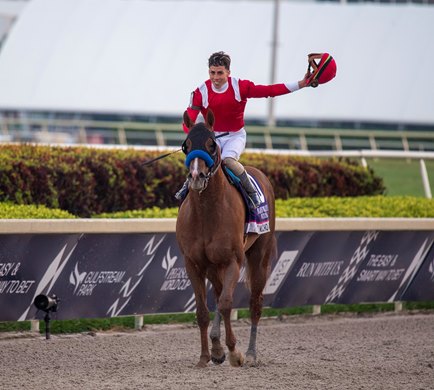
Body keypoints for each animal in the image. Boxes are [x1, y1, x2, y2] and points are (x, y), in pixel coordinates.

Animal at [175, 111, 274, 368]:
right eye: (186, 145)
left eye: (212, 144)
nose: (196, 176)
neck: (207, 212)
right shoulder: (194, 263)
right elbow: (203, 311)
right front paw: (205, 356)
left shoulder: (232, 261)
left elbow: (227, 304)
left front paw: (234, 352)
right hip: (213, 266)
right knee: (219, 294)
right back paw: (217, 347)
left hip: (259, 256)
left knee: (255, 302)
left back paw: (250, 353)